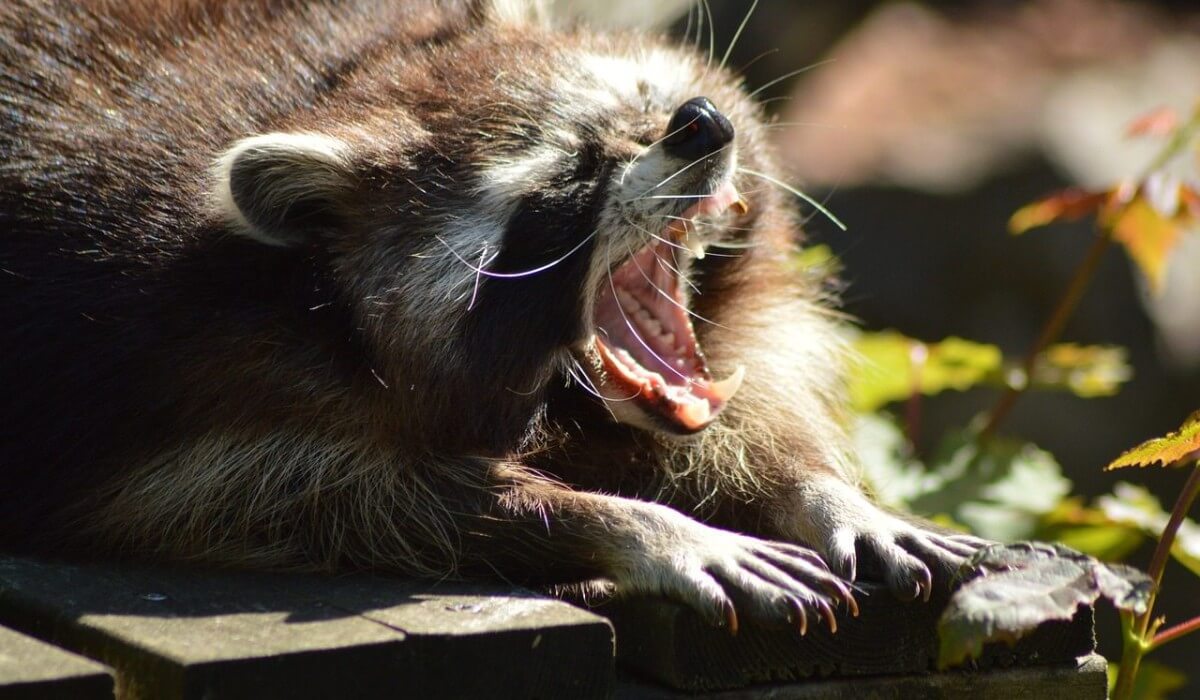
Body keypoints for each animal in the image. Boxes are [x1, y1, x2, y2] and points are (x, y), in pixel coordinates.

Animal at [0, 0, 984, 633]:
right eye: (570, 172)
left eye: (654, 104)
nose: (701, 125)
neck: (333, 84)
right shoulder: (170, 367)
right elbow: (308, 495)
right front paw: (625, 521)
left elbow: (758, 395)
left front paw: (819, 490)